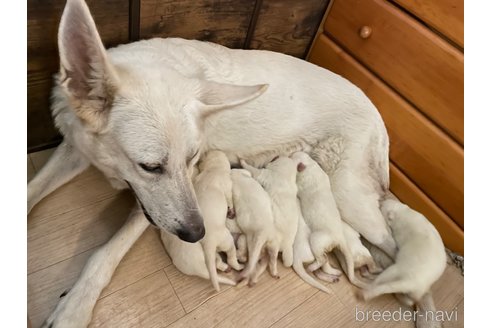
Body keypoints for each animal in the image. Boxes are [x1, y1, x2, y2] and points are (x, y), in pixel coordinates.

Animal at [194, 150, 244, 290]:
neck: (213, 168)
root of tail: (209, 243)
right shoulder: (227, 188)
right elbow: (230, 200)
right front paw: (231, 211)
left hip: (213, 250)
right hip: (228, 241)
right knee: (231, 259)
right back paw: (239, 266)